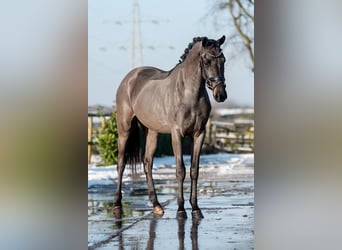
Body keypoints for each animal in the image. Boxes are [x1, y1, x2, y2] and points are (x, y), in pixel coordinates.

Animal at [114, 35, 227, 219]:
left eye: (223, 60)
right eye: (207, 61)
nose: (221, 95)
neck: (189, 94)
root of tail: (129, 78)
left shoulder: (199, 134)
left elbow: (194, 170)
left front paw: (196, 209)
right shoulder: (177, 134)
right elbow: (180, 170)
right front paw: (181, 210)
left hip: (152, 132)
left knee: (147, 163)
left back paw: (157, 205)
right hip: (124, 129)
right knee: (121, 164)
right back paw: (117, 205)